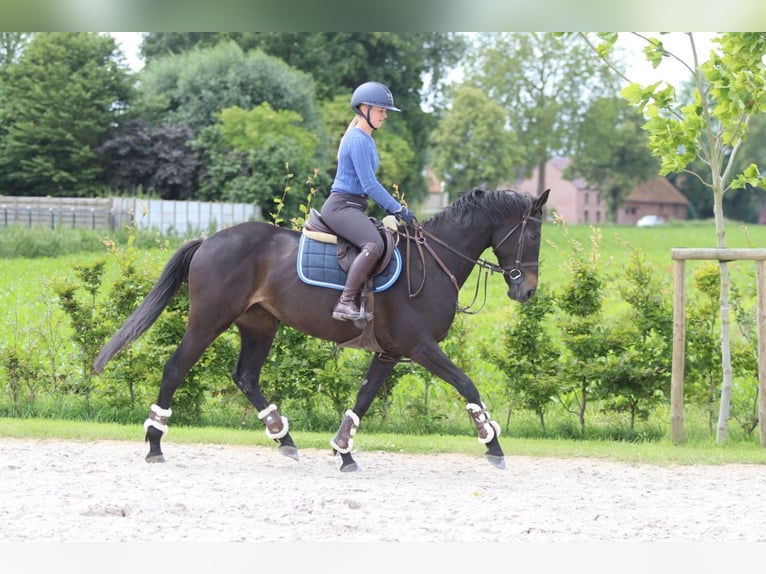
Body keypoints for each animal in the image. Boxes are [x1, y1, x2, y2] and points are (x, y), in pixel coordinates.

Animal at [93, 187, 550, 472]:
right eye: (532, 233)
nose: (527, 289)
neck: (434, 261)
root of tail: (208, 240)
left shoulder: (390, 351)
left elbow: (362, 399)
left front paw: (343, 451)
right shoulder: (420, 347)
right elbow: (467, 385)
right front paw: (492, 443)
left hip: (259, 325)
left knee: (246, 376)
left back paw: (283, 438)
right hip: (209, 320)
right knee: (175, 368)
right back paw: (155, 443)